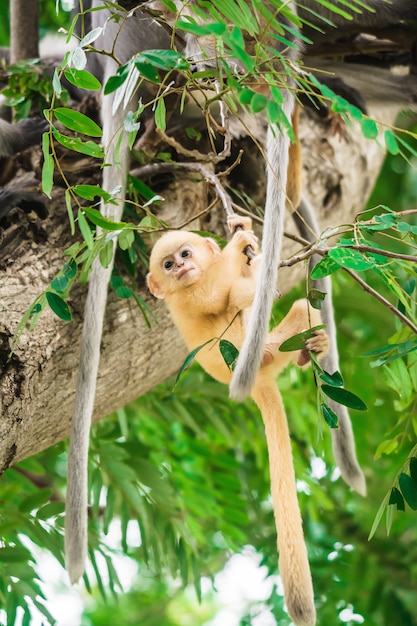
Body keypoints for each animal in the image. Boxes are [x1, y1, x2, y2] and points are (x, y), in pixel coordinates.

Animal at [148, 216, 330, 624]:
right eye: (168, 264)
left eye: (185, 254)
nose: (181, 268)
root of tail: (259, 380)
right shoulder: (185, 300)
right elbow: (213, 297)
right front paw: (236, 246)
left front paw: (241, 228)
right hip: (263, 351)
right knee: (235, 299)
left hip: (276, 347)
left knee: (301, 307)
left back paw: (312, 349)